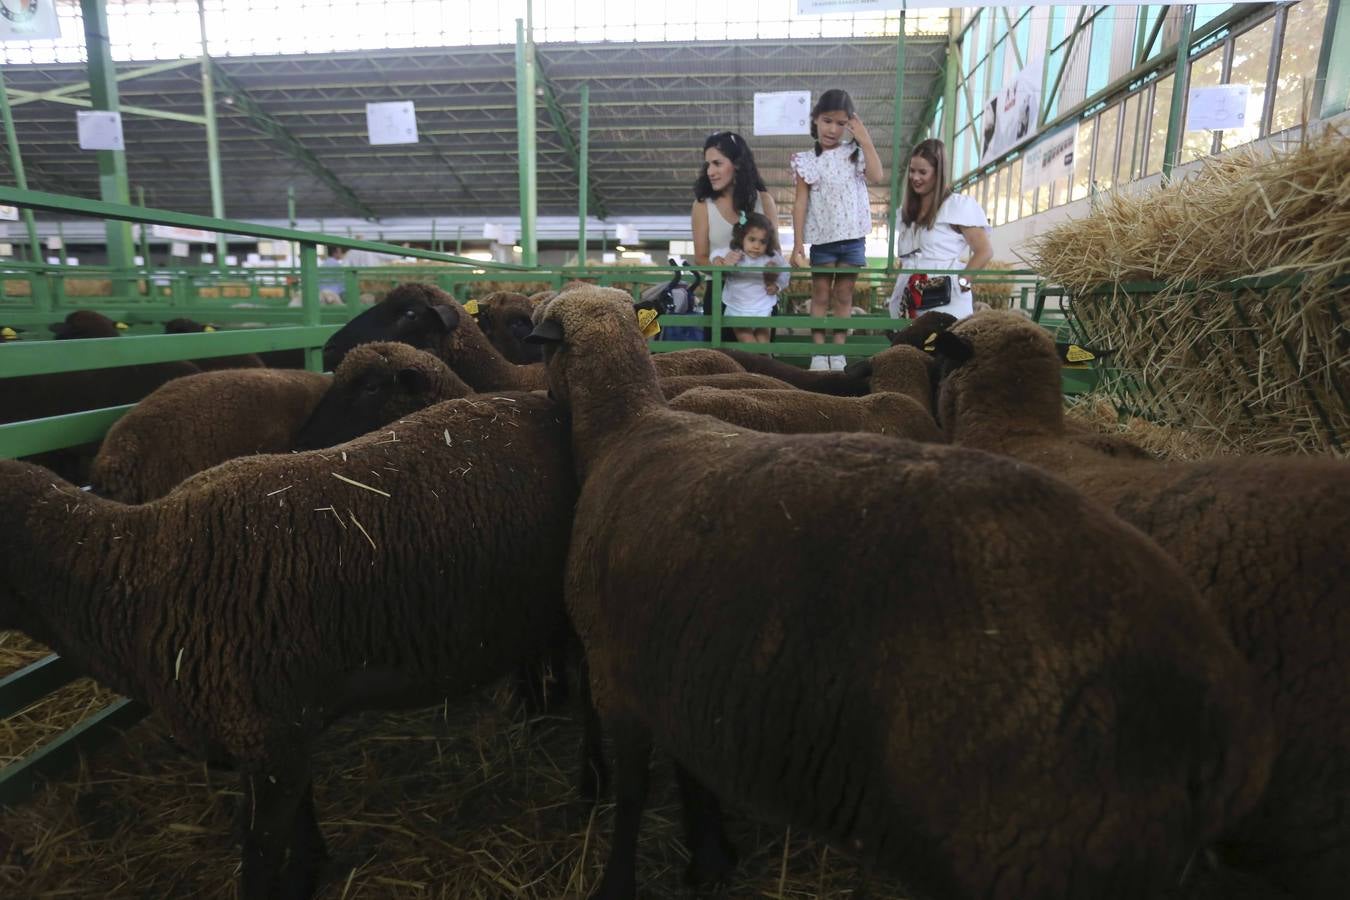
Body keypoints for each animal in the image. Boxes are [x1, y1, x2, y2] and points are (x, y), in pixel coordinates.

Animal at [521, 287, 1269, 900]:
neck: (628, 426)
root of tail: (1215, 705)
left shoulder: (619, 664)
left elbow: (633, 795)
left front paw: (621, 881)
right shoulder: (671, 656)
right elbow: (687, 773)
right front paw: (710, 858)